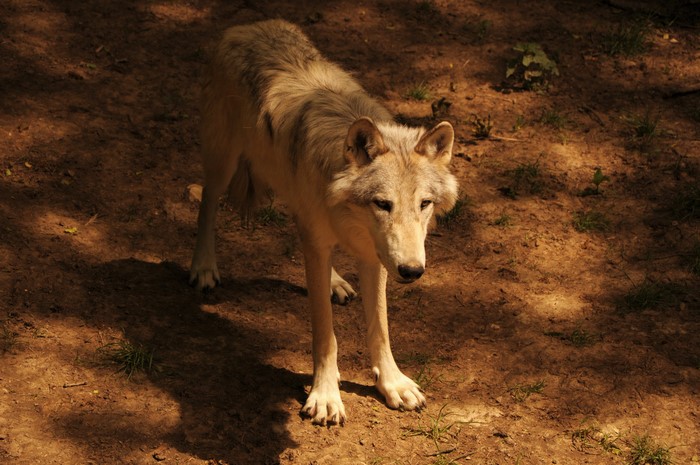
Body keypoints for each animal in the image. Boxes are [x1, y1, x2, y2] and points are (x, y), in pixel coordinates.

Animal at [190, 19, 458, 425]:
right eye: (383, 204)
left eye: (424, 204)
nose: (412, 271)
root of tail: (247, 26)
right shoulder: (332, 246)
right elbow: (325, 333)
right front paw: (326, 396)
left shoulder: (373, 255)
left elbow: (380, 327)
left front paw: (393, 384)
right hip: (224, 160)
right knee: (207, 201)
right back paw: (204, 267)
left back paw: (335, 282)